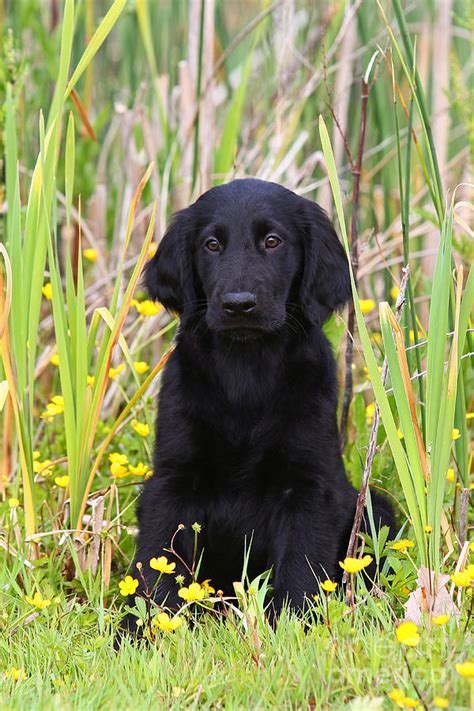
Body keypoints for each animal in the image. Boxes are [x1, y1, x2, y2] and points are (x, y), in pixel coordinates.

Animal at [126, 179, 392, 628]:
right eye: (212, 244)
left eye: (272, 241)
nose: (239, 304)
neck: (246, 368)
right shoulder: (173, 479)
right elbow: (157, 560)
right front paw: (144, 629)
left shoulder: (307, 485)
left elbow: (301, 566)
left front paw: (292, 627)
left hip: (375, 504)